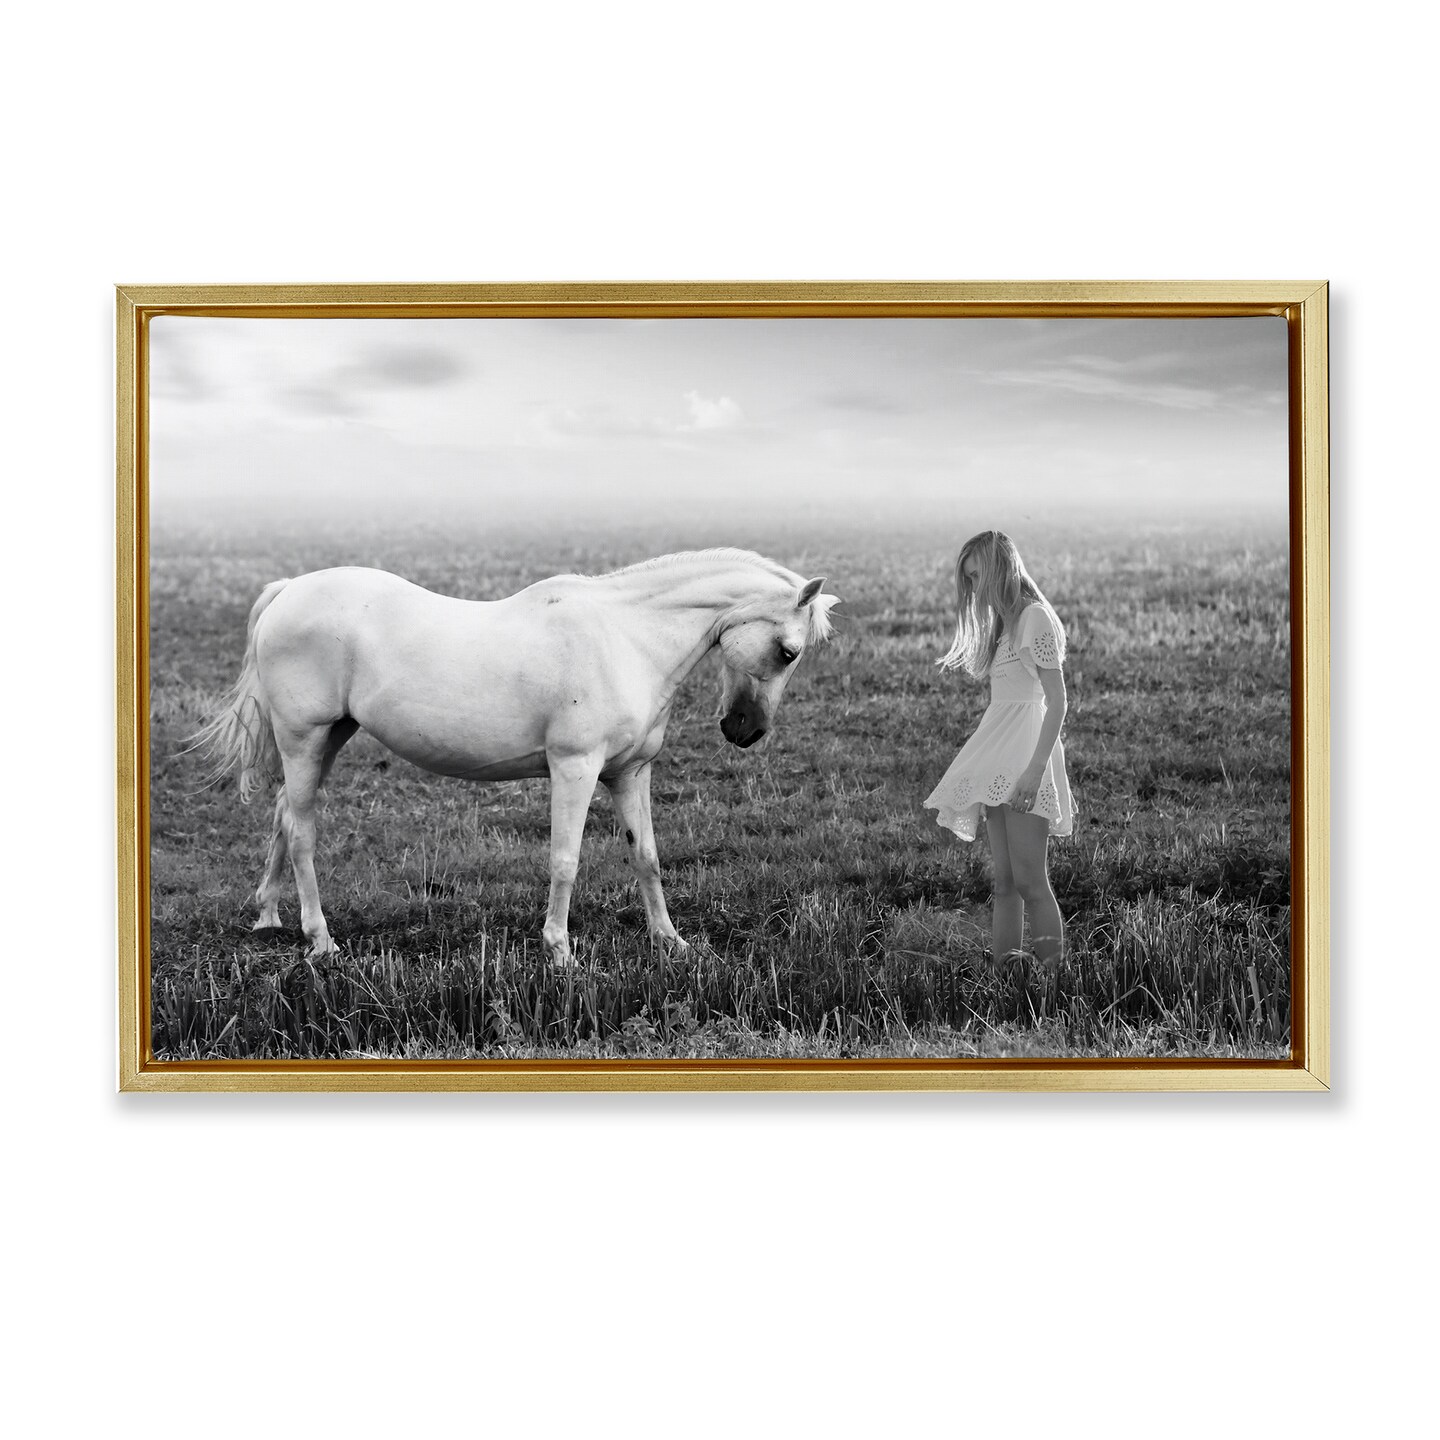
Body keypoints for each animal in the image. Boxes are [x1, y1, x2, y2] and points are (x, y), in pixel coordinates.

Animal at [193, 549, 840, 963]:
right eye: (787, 651)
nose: (745, 730)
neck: (626, 638)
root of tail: (288, 590)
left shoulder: (630, 773)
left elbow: (648, 857)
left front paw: (670, 942)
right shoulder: (574, 768)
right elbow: (565, 861)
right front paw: (560, 952)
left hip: (330, 737)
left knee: (284, 813)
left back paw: (269, 917)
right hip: (304, 738)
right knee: (302, 831)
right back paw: (320, 939)